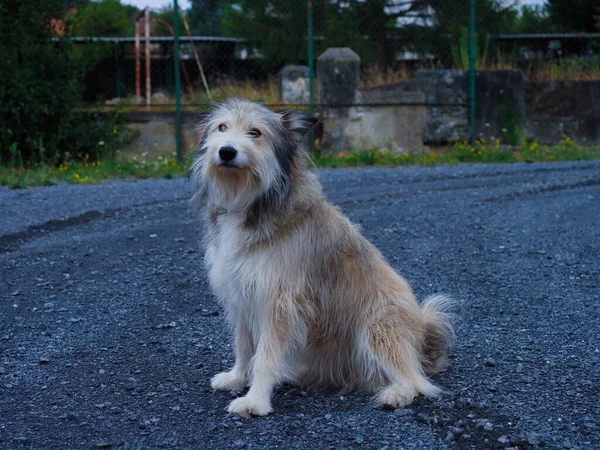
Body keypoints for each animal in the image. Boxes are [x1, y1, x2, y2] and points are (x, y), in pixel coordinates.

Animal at [190, 99, 452, 418]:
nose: (226, 151)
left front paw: (256, 400)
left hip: (379, 327)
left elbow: (265, 355)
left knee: (416, 380)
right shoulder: (242, 294)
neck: (251, 201)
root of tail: (422, 334)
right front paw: (238, 377)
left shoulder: (280, 302)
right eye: (222, 127)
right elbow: (244, 344)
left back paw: (396, 394)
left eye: (255, 132)